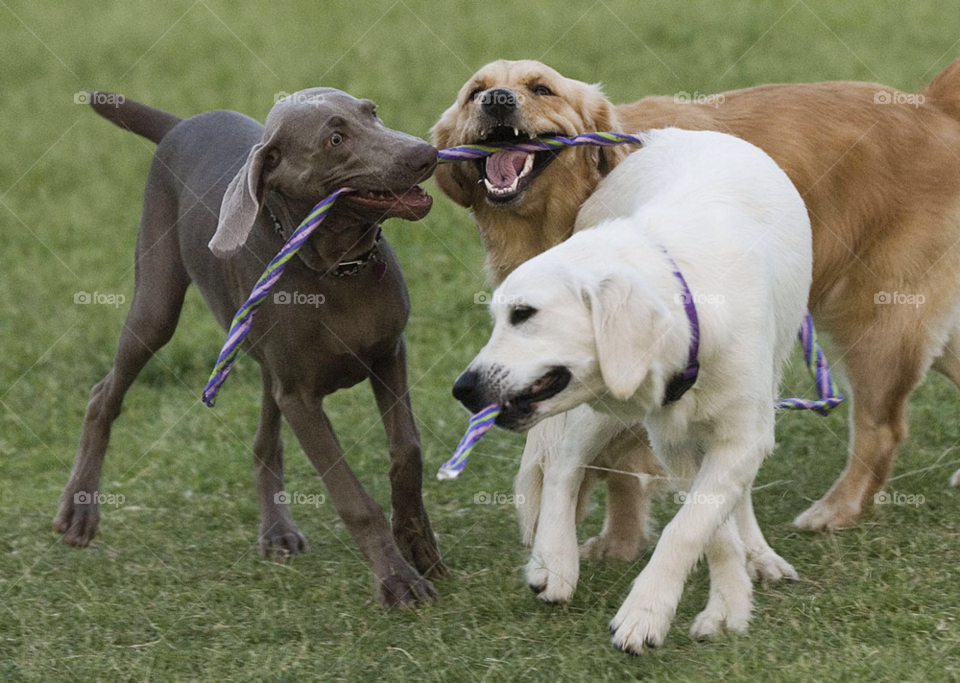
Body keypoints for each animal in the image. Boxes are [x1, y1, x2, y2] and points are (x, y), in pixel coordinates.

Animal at [57, 88, 450, 608]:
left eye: (373, 113)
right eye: (335, 139)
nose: (426, 154)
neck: (335, 266)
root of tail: (181, 124)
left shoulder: (389, 355)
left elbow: (407, 452)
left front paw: (418, 544)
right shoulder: (300, 397)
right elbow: (352, 498)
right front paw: (397, 580)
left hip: (263, 353)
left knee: (266, 440)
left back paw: (277, 529)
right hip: (157, 308)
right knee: (105, 393)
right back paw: (79, 510)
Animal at [436, 57, 960, 556]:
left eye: (541, 88)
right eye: (475, 92)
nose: (498, 100)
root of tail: (930, 105)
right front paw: (618, 541)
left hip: (876, 321)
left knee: (882, 428)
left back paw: (837, 509)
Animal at [454, 125, 812, 656]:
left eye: (523, 314)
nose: (462, 389)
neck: (693, 310)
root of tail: (675, 133)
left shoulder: (742, 435)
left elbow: (694, 526)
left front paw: (676, 611)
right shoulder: (673, 442)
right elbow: (707, 529)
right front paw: (712, 606)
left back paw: (759, 554)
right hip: (602, 402)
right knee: (563, 464)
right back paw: (553, 562)